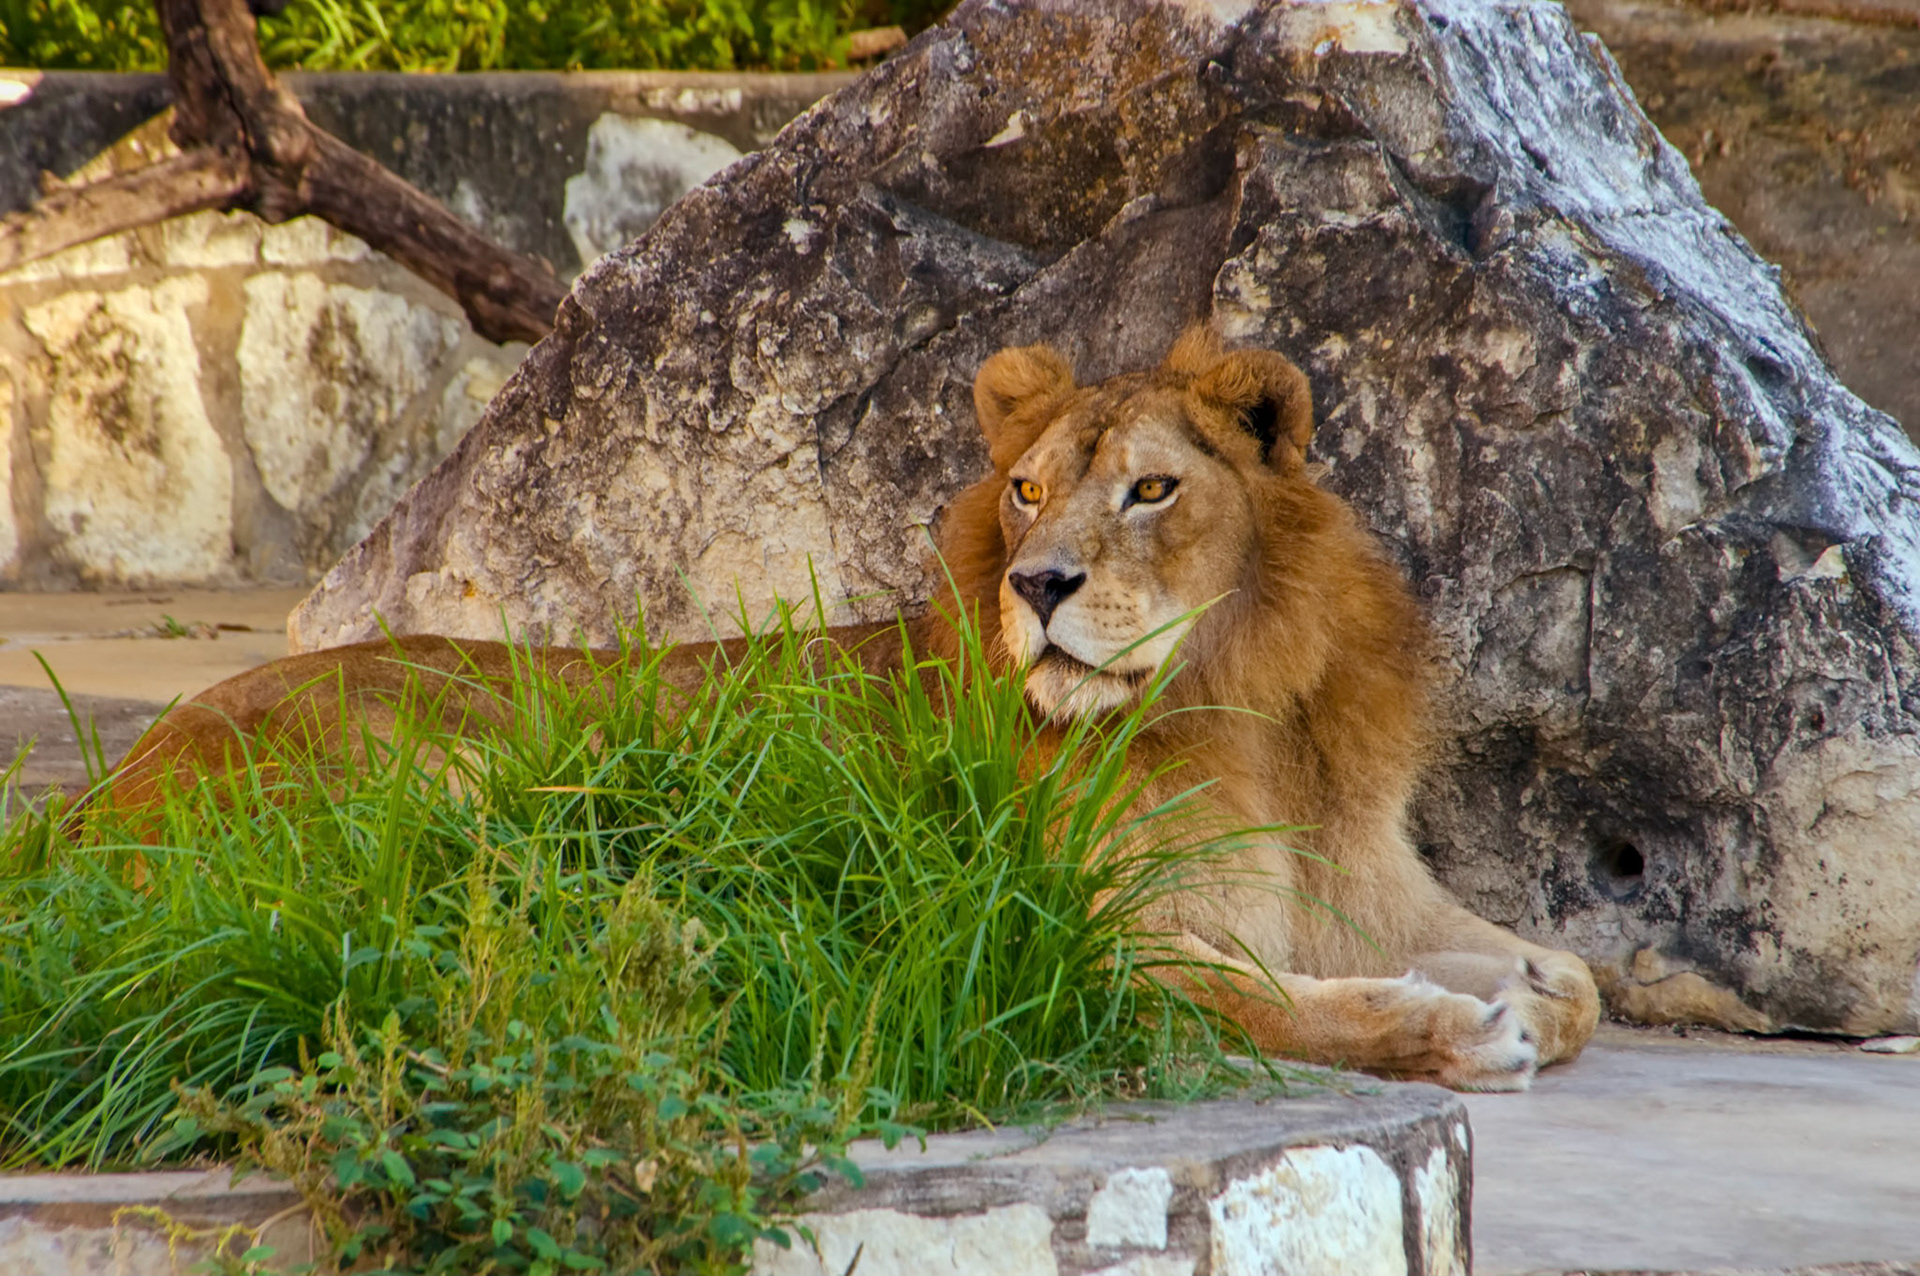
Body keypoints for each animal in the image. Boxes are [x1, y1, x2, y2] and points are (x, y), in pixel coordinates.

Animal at [95, 328, 1596, 1091]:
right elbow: (1278, 1005)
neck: (1251, 700)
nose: (1040, 584)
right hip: (458, 775)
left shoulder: (1353, 884)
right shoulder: (1077, 942)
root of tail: (95, 805)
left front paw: (1522, 985)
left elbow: (1570, 979)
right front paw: (1457, 1026)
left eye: (1153, 490)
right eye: (1028, 493)